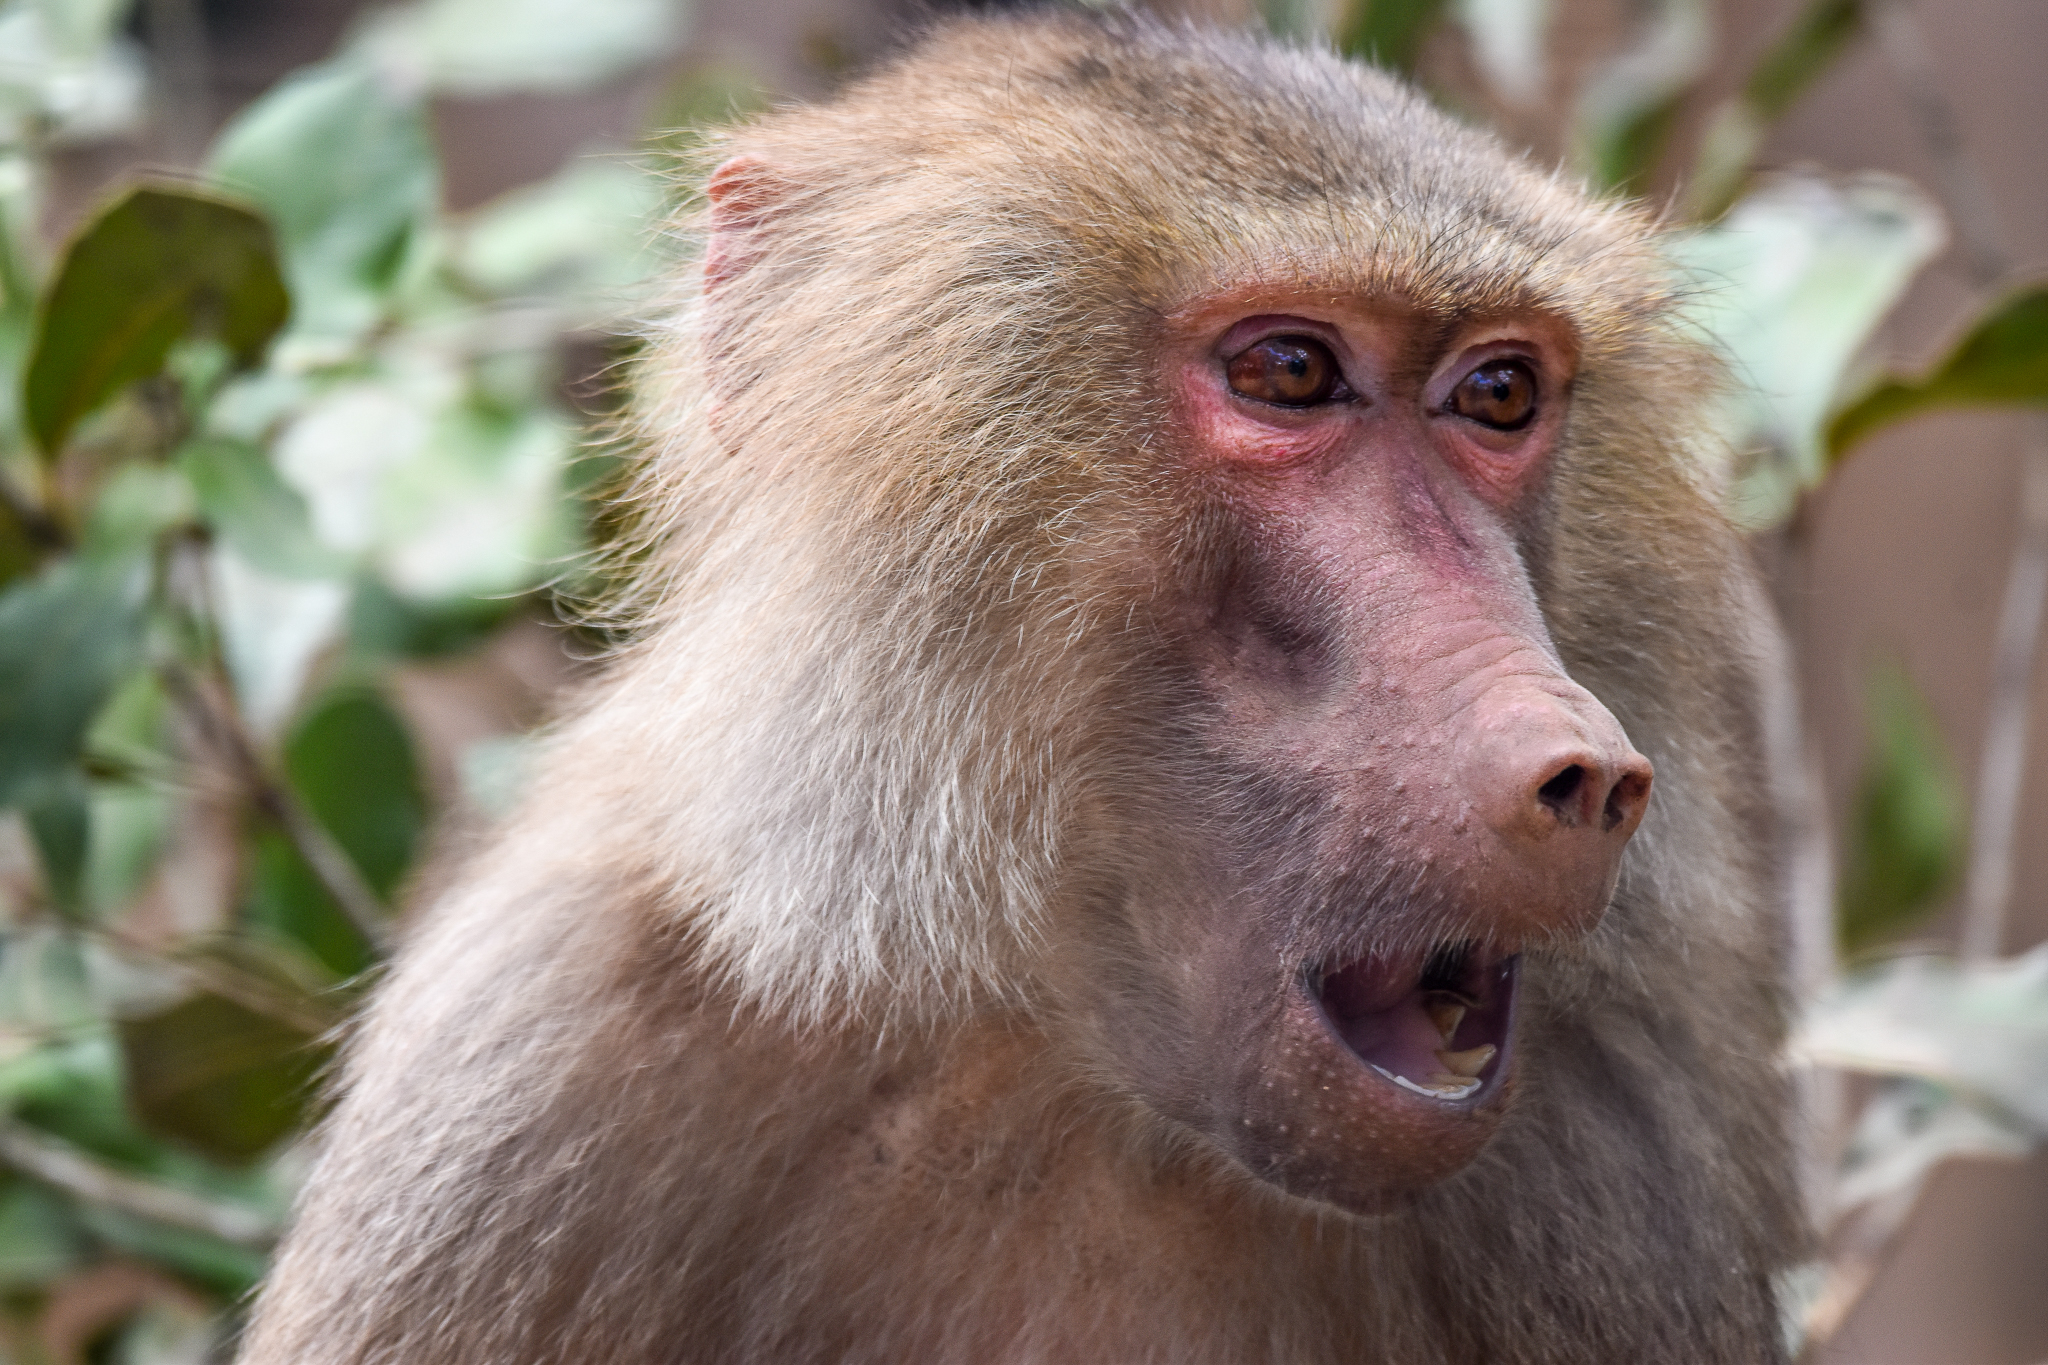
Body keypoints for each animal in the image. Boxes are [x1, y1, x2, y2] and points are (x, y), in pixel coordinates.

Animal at [238, 13, 1803, 1364]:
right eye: (1289, 371)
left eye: (1497, 395)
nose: (1579, 767)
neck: (1056, 1065)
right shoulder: (518, 1075)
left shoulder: (1616, 1144)